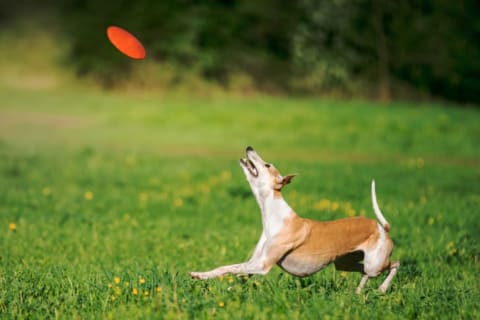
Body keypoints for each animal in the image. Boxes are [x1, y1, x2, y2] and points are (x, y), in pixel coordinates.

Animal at [189, 147, 400, 292]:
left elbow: (228, 267)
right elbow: (239, 274)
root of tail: (382, 227)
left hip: (375, 263)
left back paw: (381, 289)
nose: (249, 148)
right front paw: (226, 288)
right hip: (345, 263)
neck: (273, 214)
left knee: (394, 264)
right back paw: (358, 292)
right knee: (364, 272)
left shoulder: (262, 265)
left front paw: (199, 275)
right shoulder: (255, 262)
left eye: (267, 165)